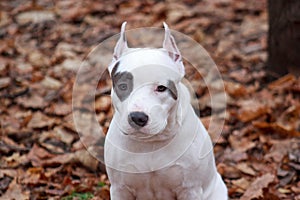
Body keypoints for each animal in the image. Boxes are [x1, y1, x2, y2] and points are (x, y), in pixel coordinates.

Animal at [104, 22, 226, 200]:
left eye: (161, 88)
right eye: (123, 86)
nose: (137, 117)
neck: (151, 144)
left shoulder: (190, 189)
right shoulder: (120, 189)